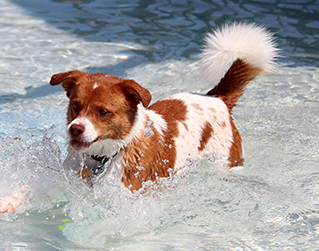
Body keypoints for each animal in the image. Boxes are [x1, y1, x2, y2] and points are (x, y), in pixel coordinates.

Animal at [0, 22, 278, 213]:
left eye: (103, 111)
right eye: (75, 105)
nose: (75, 129)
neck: (105, 157)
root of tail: (217, 98)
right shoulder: (67, 177)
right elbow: (35, 187)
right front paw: (10, 200)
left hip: (224, 161)